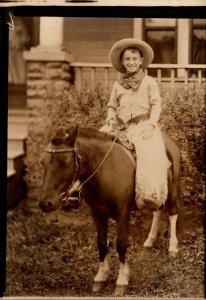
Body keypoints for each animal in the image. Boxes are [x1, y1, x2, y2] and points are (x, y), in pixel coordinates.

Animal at [39, 125, 183, 296]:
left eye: (65, 162)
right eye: (42, 162)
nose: (45, 203)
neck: (105, 171)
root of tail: (170, 141)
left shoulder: (122, 214)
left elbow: (121, 244)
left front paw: (122, 280)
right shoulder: (97, 214)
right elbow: (101, 243)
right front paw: (101, 276)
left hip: (172, 190)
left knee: (173, 213)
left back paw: (173, 247)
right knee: (157, 211)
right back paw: (150, 240)